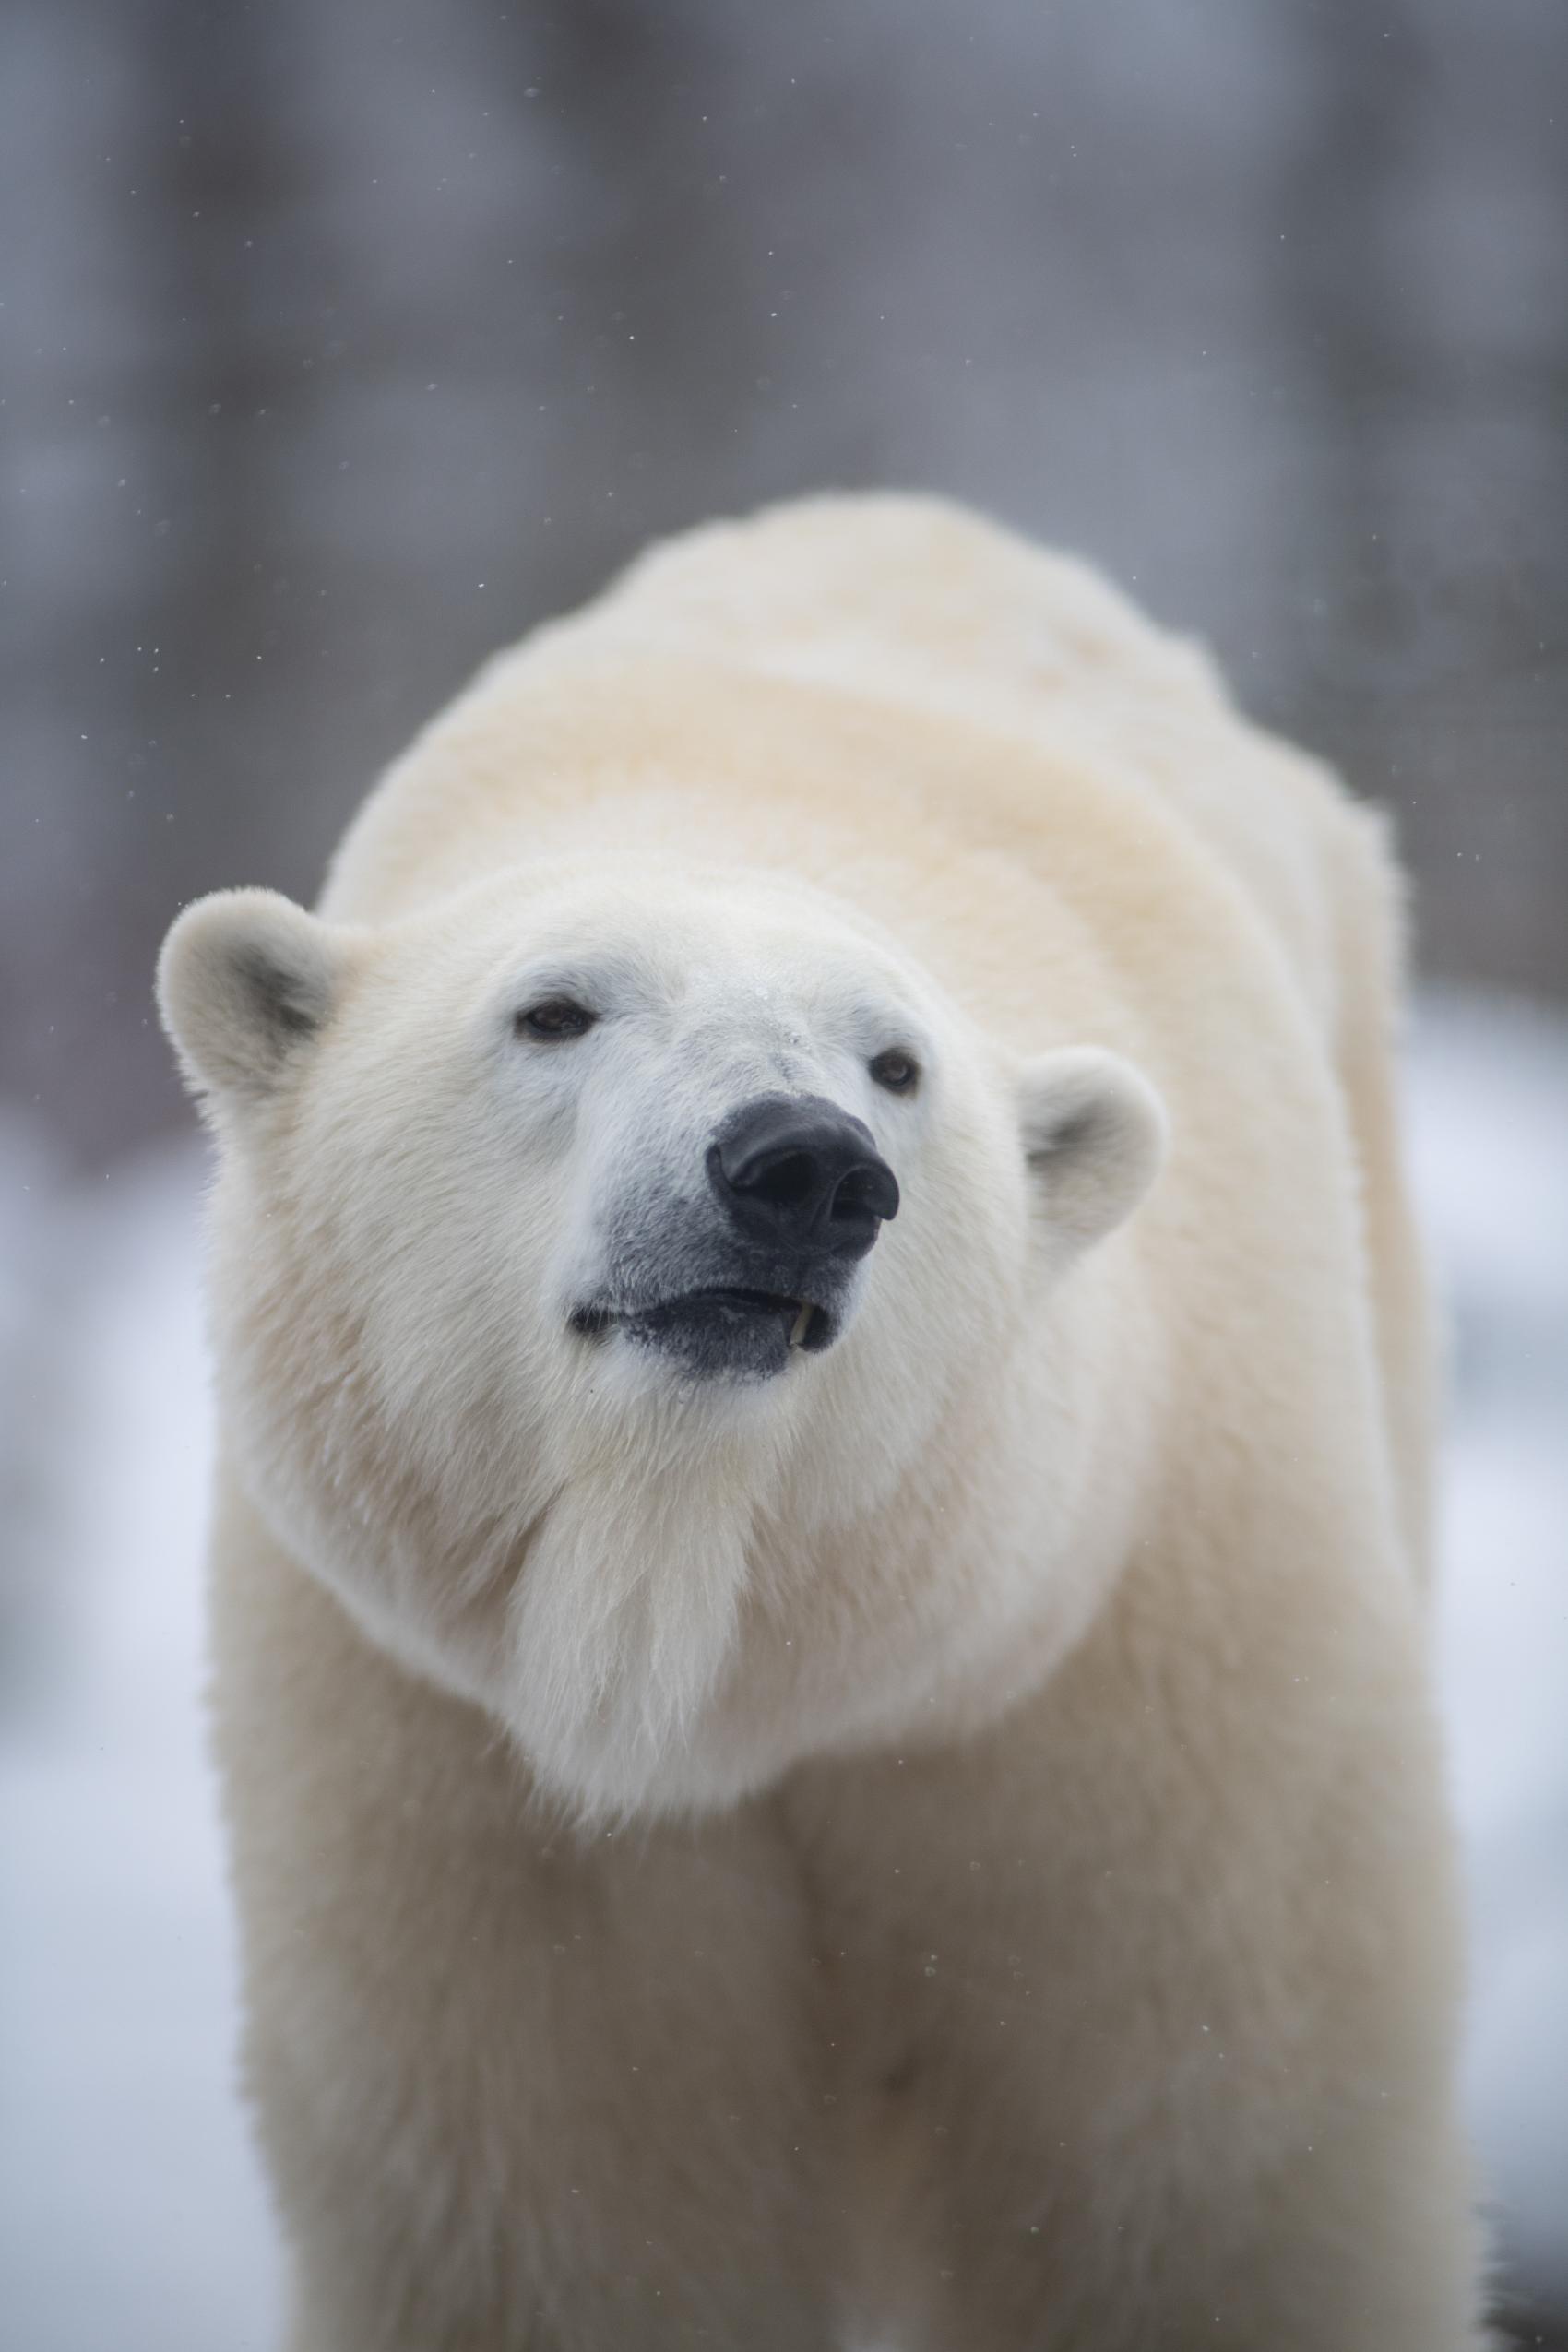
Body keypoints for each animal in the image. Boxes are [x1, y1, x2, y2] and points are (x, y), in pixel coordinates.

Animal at [161, 486, 1494, 2342]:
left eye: (897, 1066)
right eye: (554, 1008)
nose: (799, 1169)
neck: (726, 1666)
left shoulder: (1123, 1684)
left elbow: (1206, 2163)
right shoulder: (444, 1764)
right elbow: (563, 2199)